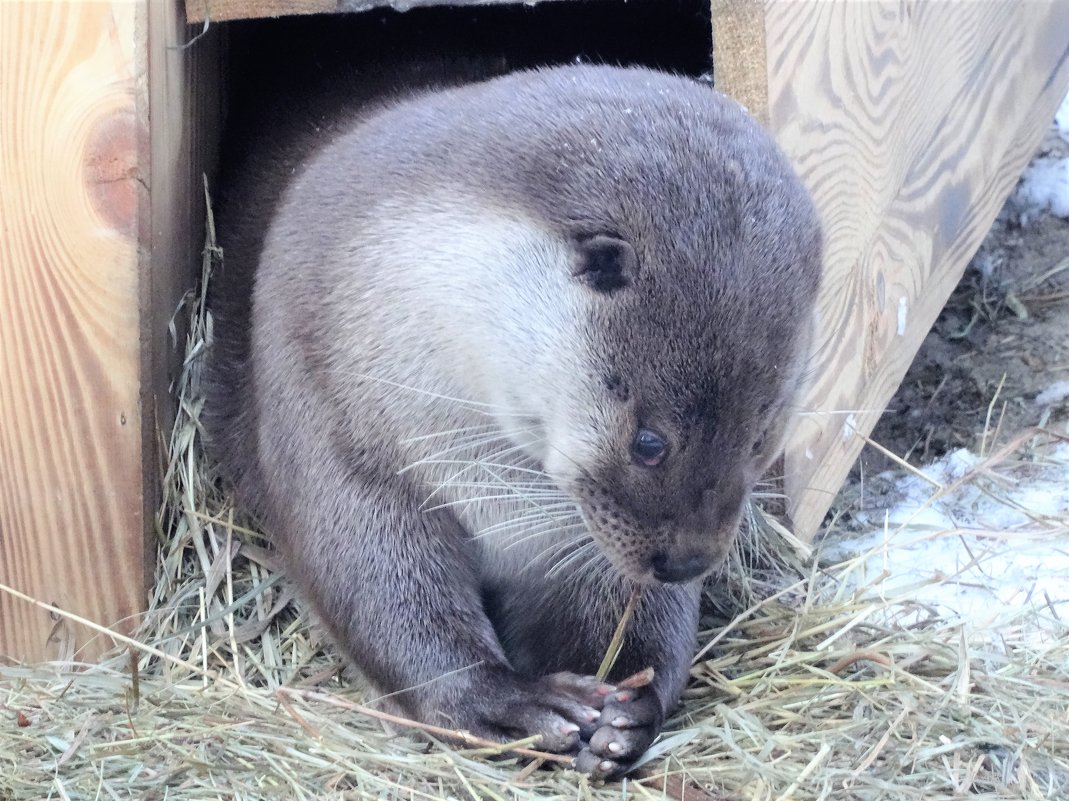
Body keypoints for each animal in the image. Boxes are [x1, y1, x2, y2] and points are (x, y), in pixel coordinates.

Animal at [204, 65, 820, 778]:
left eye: (760, 439)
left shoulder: (571, 532)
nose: (688, 561)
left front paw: (628, 709)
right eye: (649, 442)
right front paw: (508, 706)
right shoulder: (324, 403)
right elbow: (373, 581)